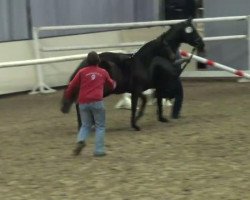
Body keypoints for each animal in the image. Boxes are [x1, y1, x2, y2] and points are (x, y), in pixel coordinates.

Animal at [61, 18, 204, 131]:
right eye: (192, 31)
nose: (201, 44)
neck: (143, 63)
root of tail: (86, 62)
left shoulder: (147, 88)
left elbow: (152, 101)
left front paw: (158, 118)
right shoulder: (137, 90)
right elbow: (138, 104)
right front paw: (135, 125)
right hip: (102, 90)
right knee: (79, 103)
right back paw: (84, 125)